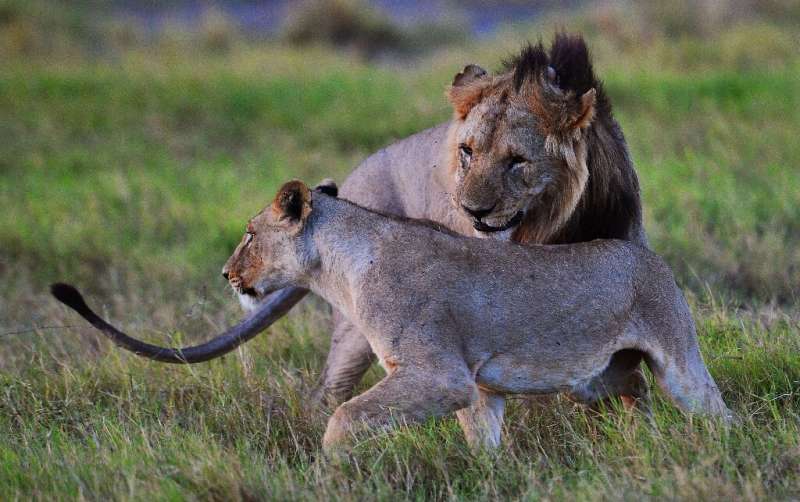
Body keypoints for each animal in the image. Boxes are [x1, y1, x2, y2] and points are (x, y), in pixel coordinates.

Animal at [51, 34, 650, 427]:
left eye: (517, 161)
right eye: (466, 152)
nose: (472, 212)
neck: (557, 226)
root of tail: (344, 184)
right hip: (355, 333)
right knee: (326, 395)